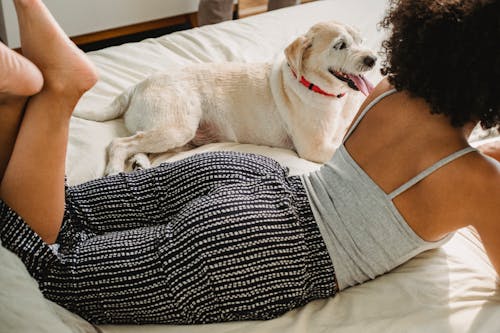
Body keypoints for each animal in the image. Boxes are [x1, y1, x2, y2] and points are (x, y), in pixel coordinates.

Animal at [92, 21, 376, 174]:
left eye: (362, 40)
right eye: (340, 45)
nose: (373, 59)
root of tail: (138, 84)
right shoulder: (315, 147)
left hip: (178, 135)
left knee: (140, 145)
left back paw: (139, 163)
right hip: (177, 127)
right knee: (119, 143)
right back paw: (114, 170)